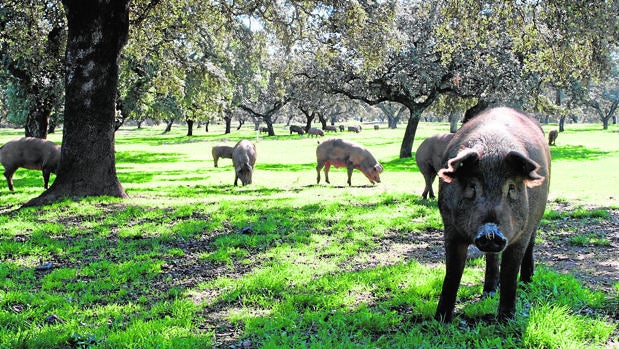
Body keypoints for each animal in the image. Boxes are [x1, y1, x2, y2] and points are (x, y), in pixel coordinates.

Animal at [434, 107, 548, 322]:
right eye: (472, 186)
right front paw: (441, 319)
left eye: (511, 187)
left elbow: (510, 273)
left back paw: (527, 281)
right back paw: (488, 292)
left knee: (531, 244)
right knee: (491, 258)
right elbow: (452, 273)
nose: (490, 232)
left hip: (536, 217)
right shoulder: (450, 228)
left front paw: (506, 320)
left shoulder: (520, 234)